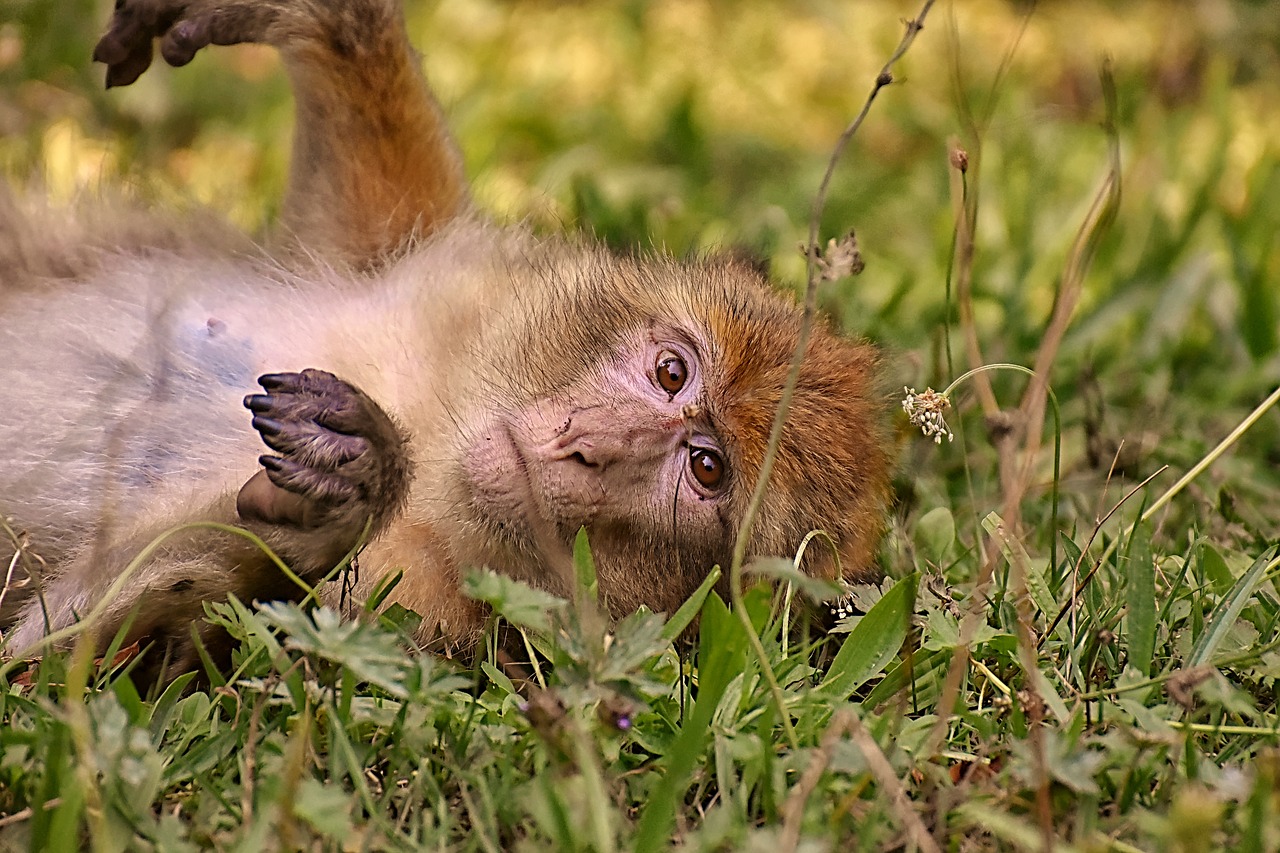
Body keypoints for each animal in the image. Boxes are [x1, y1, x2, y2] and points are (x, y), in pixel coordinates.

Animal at [0, 0, 890, 676]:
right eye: (672, 371)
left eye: (705, 468)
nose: (589, 442)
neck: (439, 446)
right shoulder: (449, 280)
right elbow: (347, 230)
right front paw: (337, 25)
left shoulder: (414, 619)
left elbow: (86, 666)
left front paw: (348, 495)